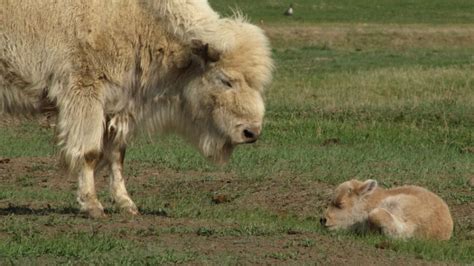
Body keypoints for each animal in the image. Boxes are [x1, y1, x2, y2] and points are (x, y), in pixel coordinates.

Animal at [0, 1, 274, 217]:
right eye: (225, 80)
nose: (251, 132)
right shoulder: (86, 96)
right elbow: (89, 152)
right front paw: (93, 206)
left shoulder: (118, 107)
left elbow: (116, 156)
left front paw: (127, 204)